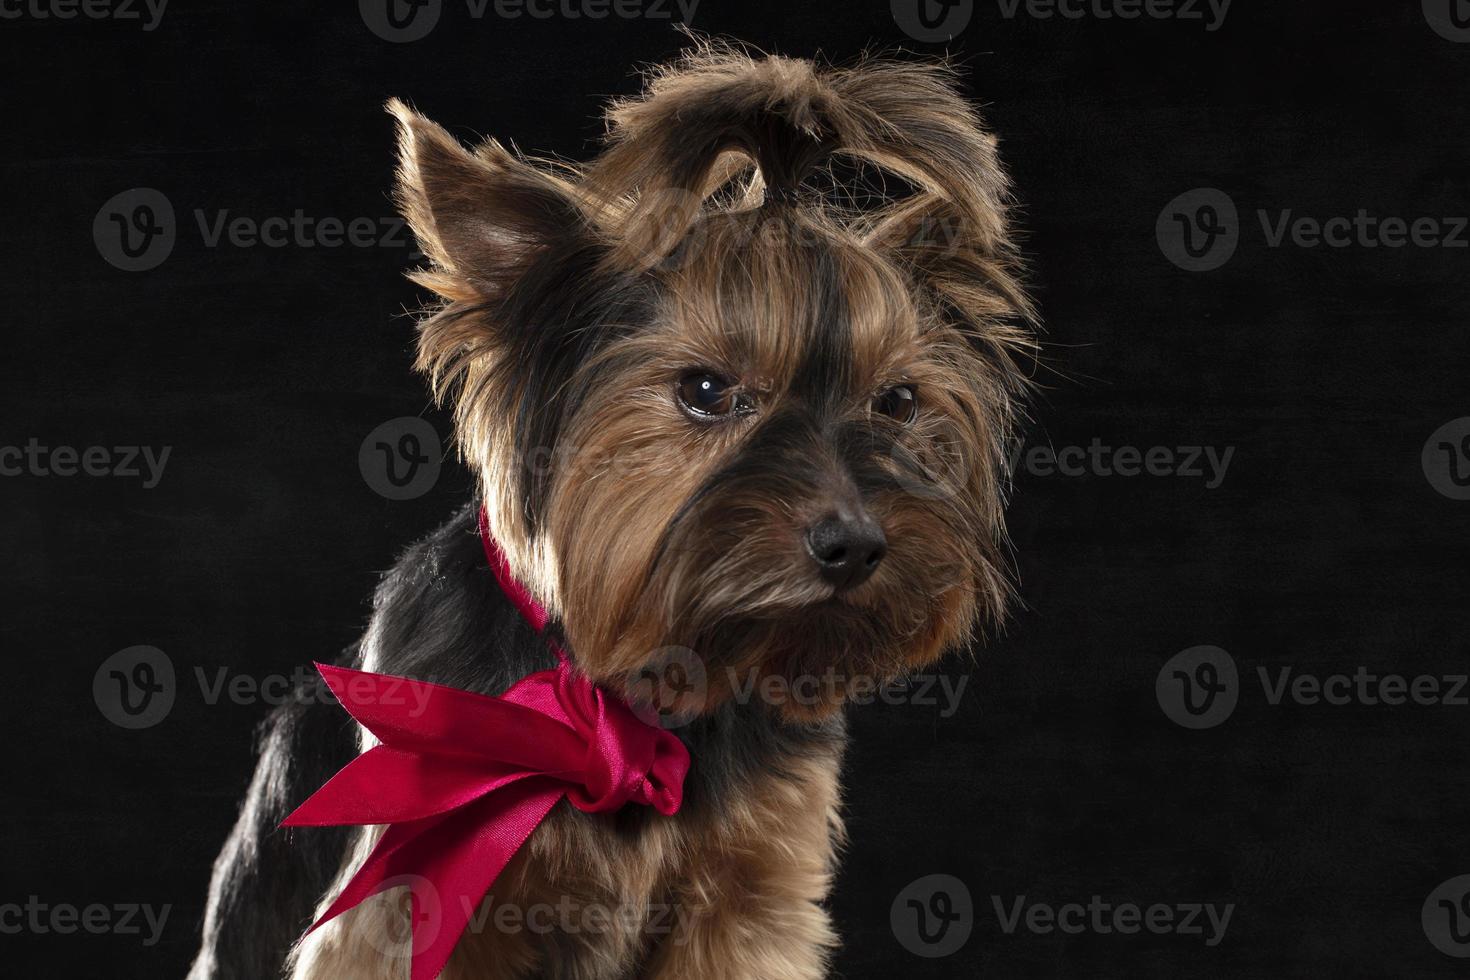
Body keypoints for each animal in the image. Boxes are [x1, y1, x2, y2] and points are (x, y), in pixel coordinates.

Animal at [189, 40, 1034, 980]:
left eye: (896, 402)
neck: (632, 703)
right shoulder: (410, 896)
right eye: (705, 391)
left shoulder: (749, 900)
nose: (854, 543)